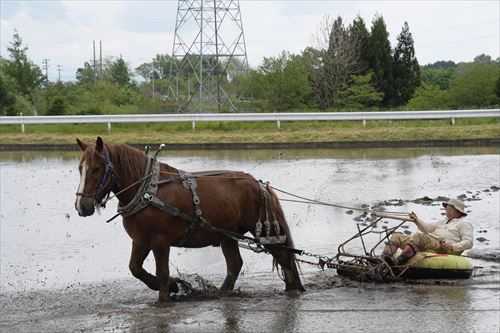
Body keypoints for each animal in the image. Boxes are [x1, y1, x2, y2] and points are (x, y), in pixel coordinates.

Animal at [74, 136, 304, 300]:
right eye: (80, 169)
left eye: (96, 168)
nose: (81, 206)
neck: (147, 190)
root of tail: (259, 184)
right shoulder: (140, 240)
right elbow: (135, 269)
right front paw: (174, 285)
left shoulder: (160, 241)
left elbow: (162, 273)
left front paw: (165, 294)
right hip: (227, 235)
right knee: (235, 264)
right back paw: (222, 293)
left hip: (266, 232)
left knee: (285, 259)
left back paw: (293, 290)